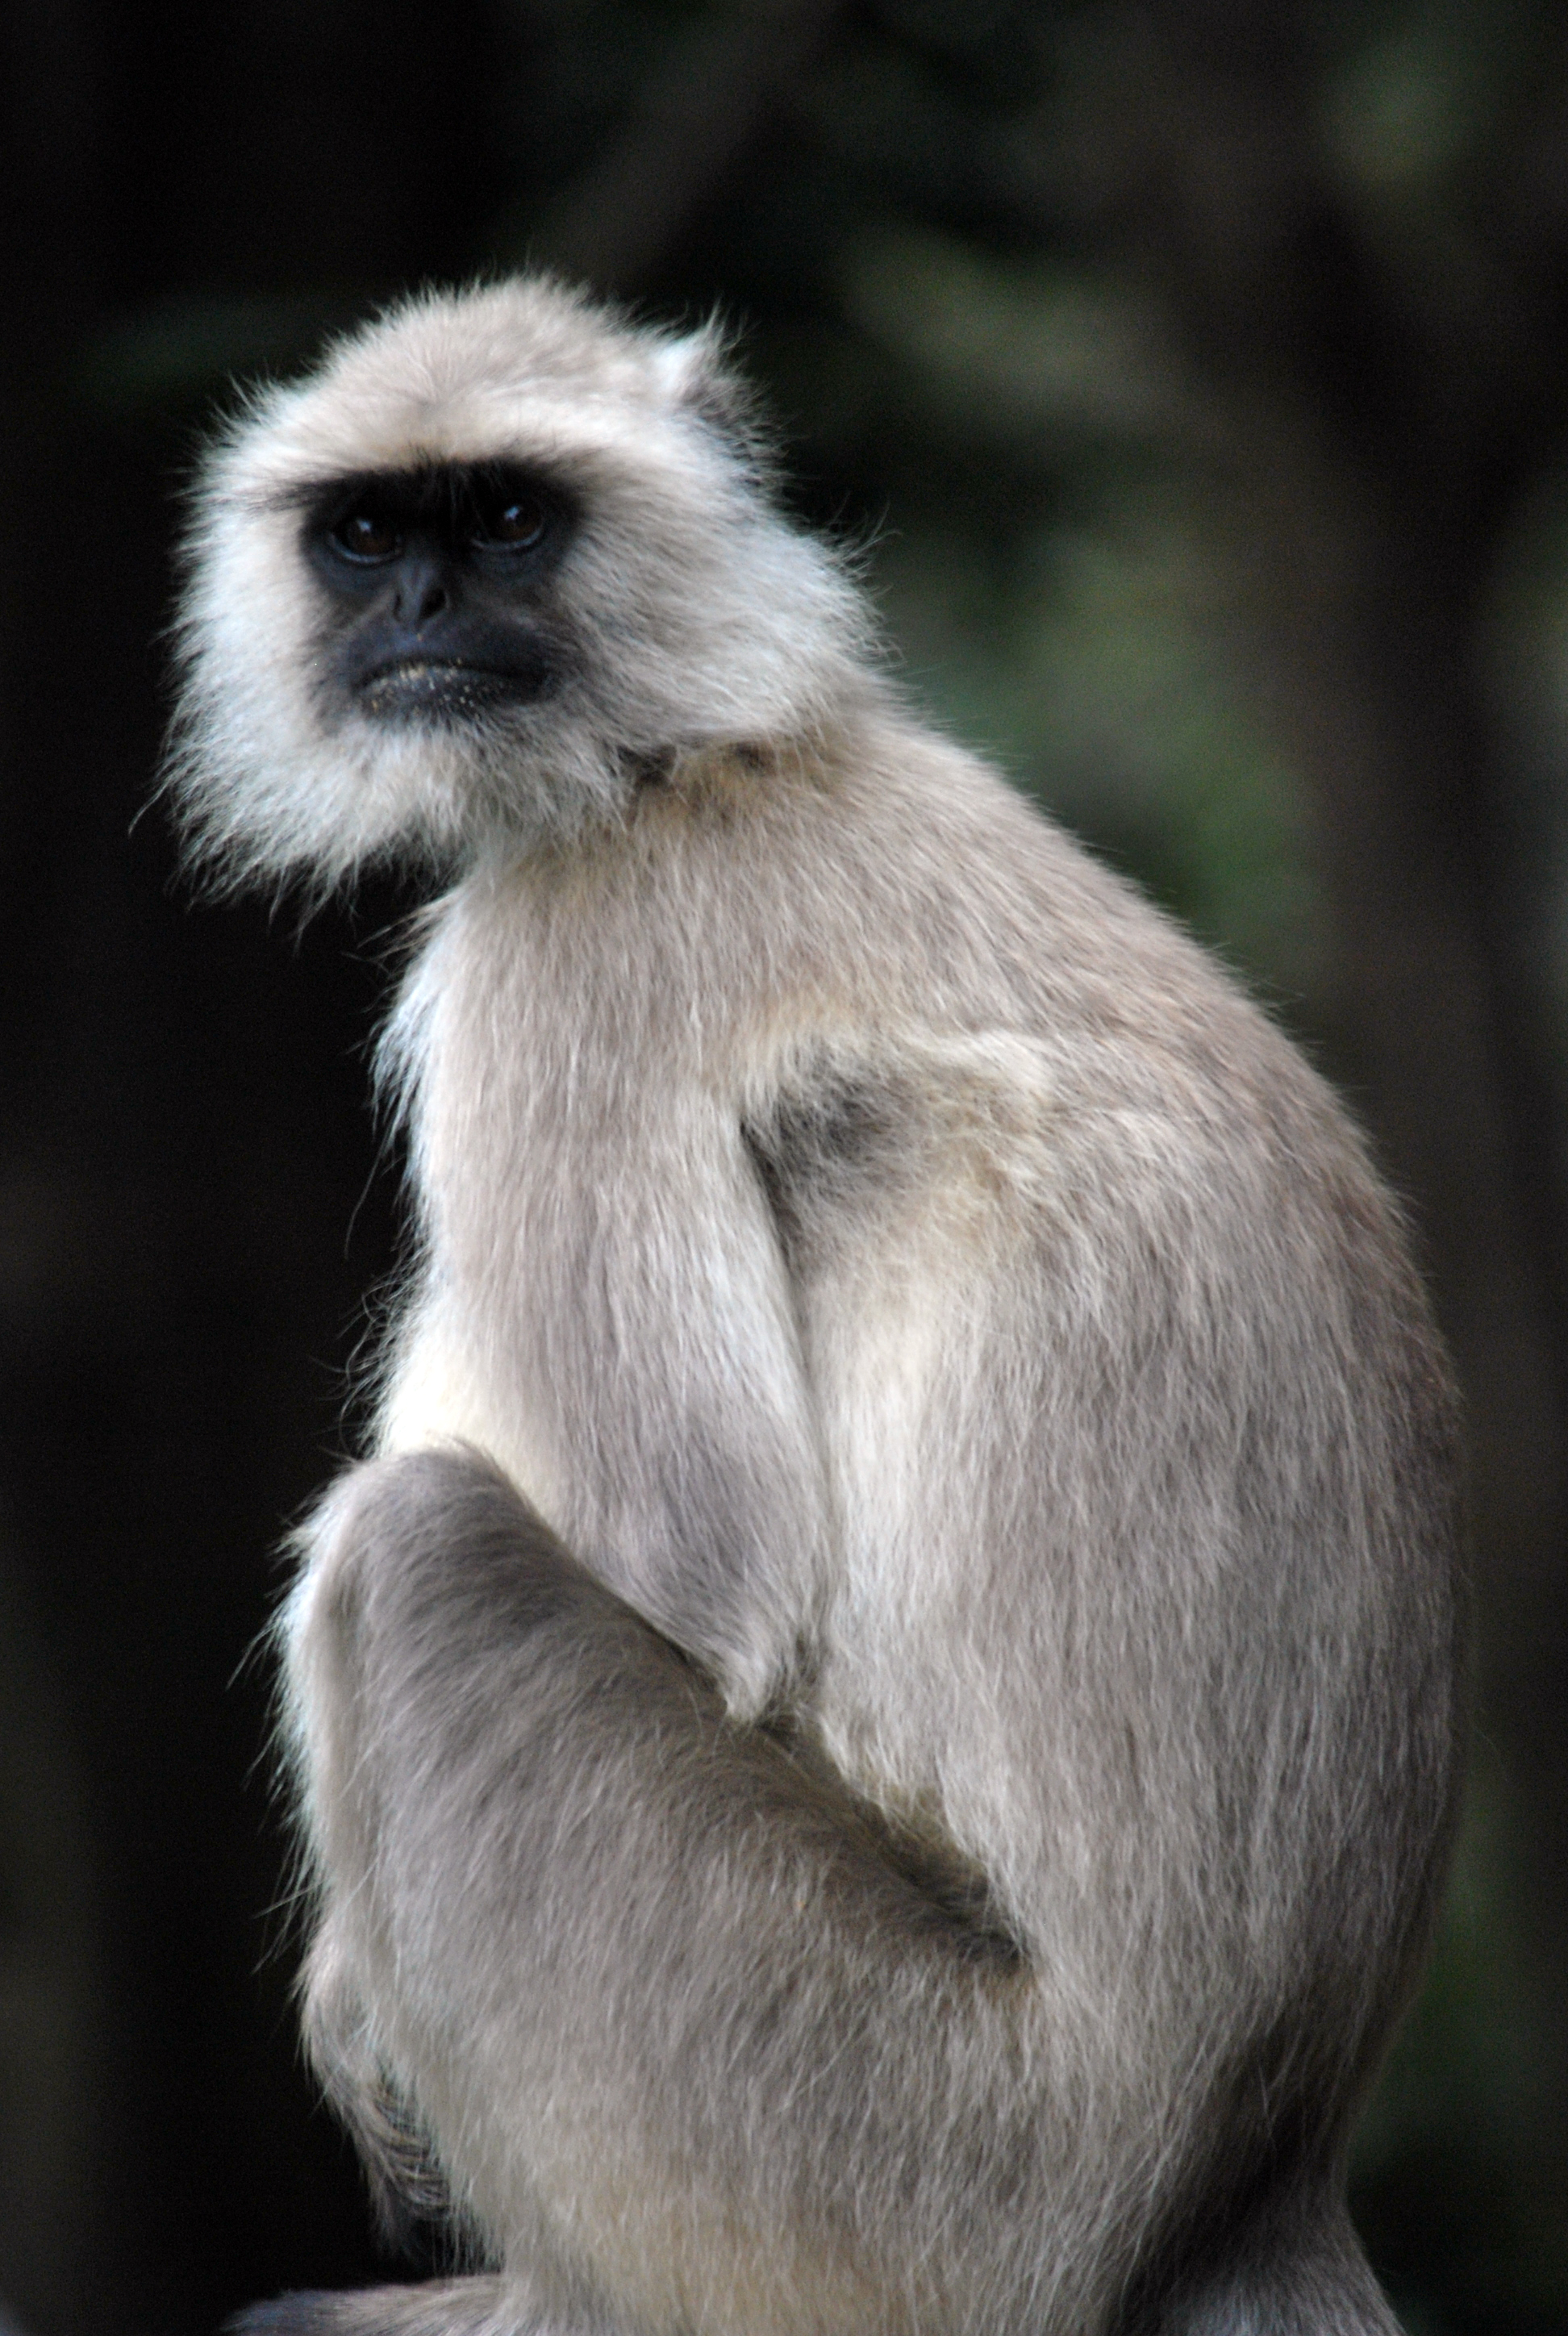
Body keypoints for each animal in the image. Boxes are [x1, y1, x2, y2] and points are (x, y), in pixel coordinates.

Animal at [165, 282, 1467, 2336]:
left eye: (507, 518)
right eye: (367, 534)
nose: (421, 611)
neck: (709, 756)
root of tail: (1251, 2179)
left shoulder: (568, 955)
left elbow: (684, 1565)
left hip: (893, 2166)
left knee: (416, 1547)